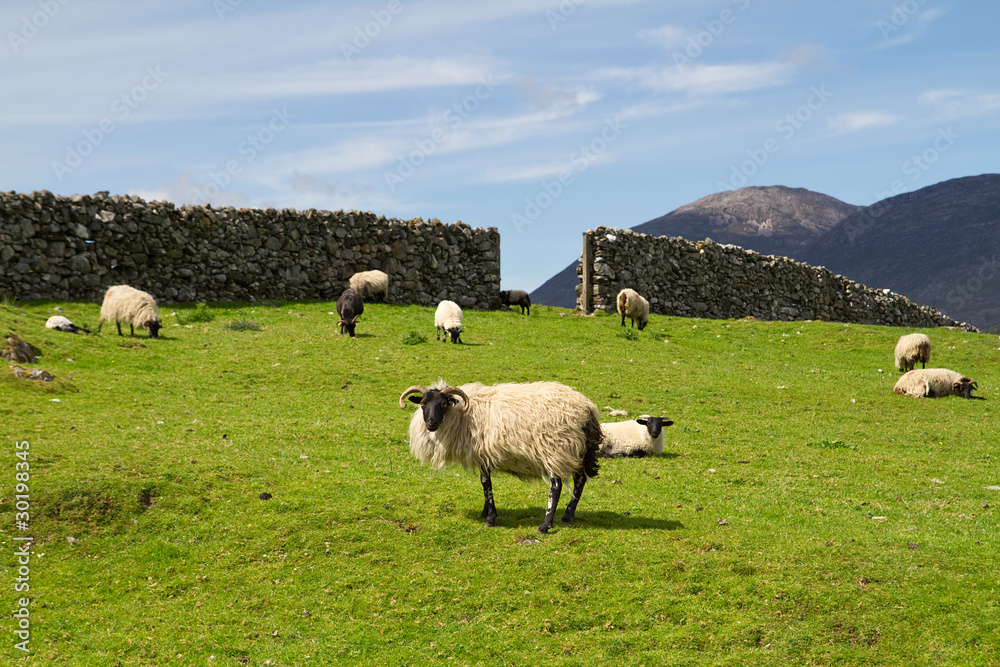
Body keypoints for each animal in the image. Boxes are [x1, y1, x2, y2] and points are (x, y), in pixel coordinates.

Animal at [398, 380, 600, 532]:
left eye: (444, 404)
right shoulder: (483, 456)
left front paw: (490, 518)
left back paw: (545, 525)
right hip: (577, 450)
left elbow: (486, 484)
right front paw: (485, 511)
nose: (431, 424)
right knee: (580, 480)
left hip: (555, 449)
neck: (463, 414)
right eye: (423, 404)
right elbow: (485, 484)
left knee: (556, 486)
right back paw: (567, 516)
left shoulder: (482, 455)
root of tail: (587, 408)